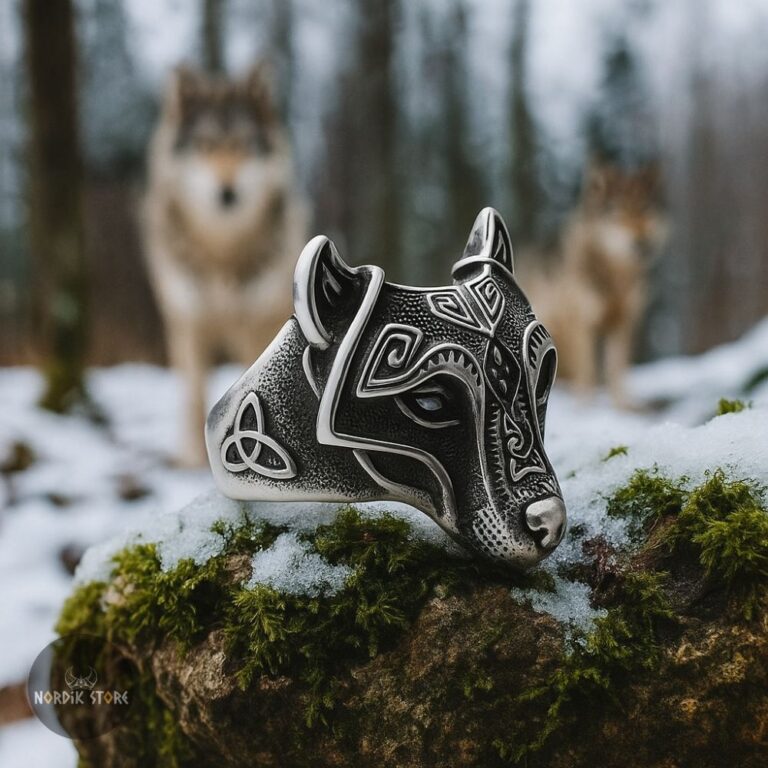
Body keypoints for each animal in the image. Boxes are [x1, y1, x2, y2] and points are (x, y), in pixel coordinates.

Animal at [143, 64, 305, 466]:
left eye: (244, 145)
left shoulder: (255, 326)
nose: (227, 192)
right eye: (205, 146)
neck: (223, 252)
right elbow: (194, 394)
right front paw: (191, 460)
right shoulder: (189, 322)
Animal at [519, 163, 665, 408]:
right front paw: (586, 407)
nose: (642, 242)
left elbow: (616, 370)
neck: (615, 276)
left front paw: (624, 408)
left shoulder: (624, 323)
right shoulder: (581, 323)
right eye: (619, 214)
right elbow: (589, 371)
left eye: (644, 210)